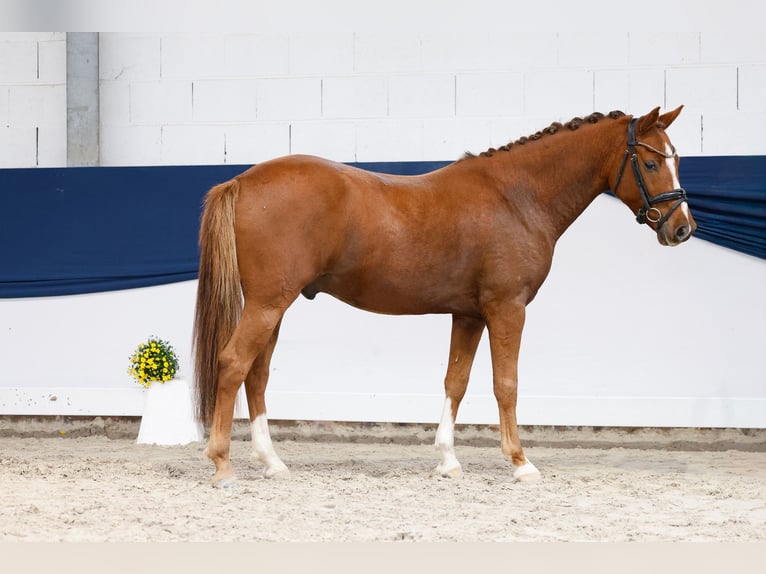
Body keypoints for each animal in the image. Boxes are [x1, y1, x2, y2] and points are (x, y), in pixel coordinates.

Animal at [193, 106, 695, 487]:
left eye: (676, 160)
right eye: (651, 163)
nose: (682, 228)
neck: (517, 197)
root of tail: (242, 181)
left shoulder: (468, 315)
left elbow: (457, 381)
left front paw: (448, 461)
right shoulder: (506, 309)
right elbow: (506, 384)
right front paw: (521, 463)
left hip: (274, 307)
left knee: (257, 375)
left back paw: (272, 463)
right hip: (267, 304)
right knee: (233, 363)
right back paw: (222, 464)